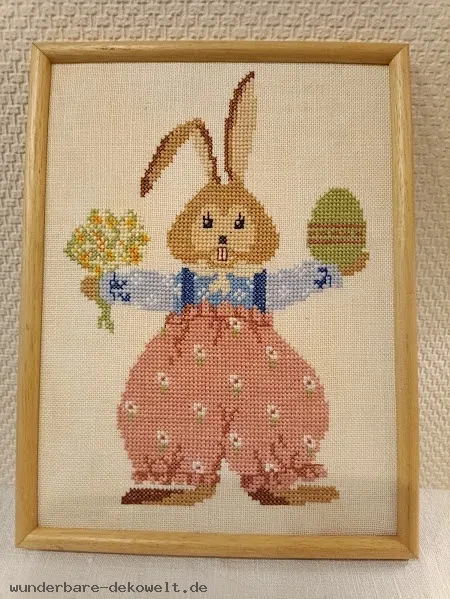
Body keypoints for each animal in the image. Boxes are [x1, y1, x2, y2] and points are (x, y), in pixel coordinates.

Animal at [92, 72, 353, 506]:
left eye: (241, 221)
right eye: (207, 219)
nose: (223, 241)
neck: (222, 284)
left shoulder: (263, 288)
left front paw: (328, 270)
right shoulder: (179, 288)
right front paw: (108, 282)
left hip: (273, 406)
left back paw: (279, 481)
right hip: (173, 411)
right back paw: (175, 483)